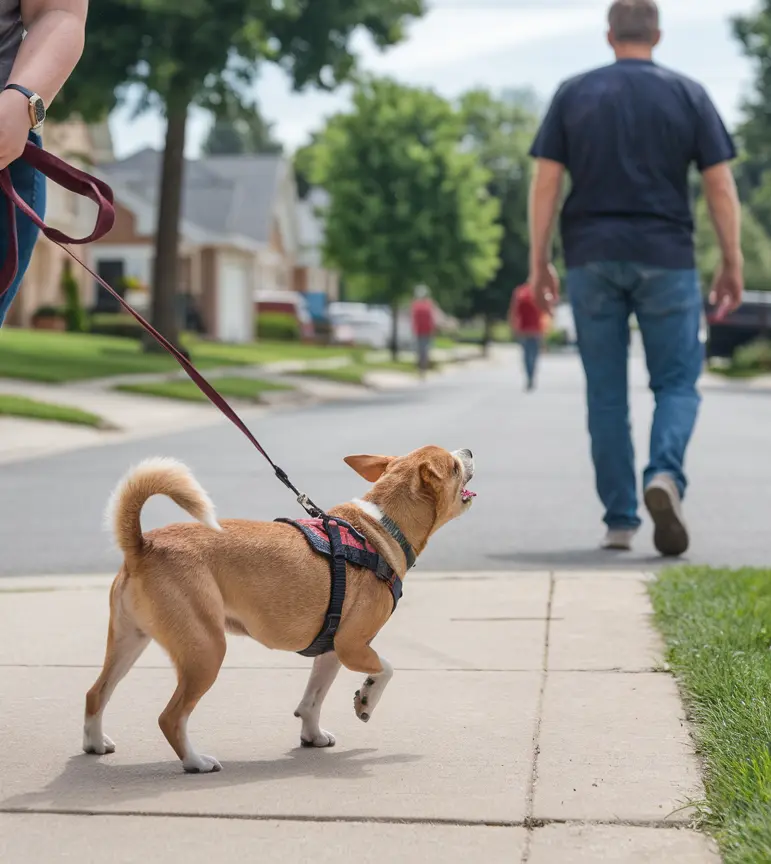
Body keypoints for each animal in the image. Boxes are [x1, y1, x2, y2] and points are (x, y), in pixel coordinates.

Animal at [81, 446, 474, 768]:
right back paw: (196, 761)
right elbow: (387, 669)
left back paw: (95, 743)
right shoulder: (352, 646)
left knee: (96, 693)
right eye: (454, 466)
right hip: (206, 651)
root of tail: (142, 546)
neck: (380, 527)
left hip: (129, 641)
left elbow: (312, 699)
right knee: (170, 717)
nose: (469, 450)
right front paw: (365, 700)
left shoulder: (331, 649)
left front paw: (312, 737)